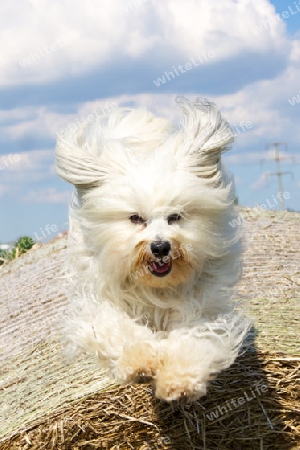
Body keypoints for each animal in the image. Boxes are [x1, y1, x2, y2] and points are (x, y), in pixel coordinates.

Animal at [55, 96, 250, 400]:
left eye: (176, 216)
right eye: (136, 218)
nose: (160, 247)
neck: (156, 287)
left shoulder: (203, 302)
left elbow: (194, 337)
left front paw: (179, 380)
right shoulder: (102, 302)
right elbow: (118, 330)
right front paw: (141, 362)